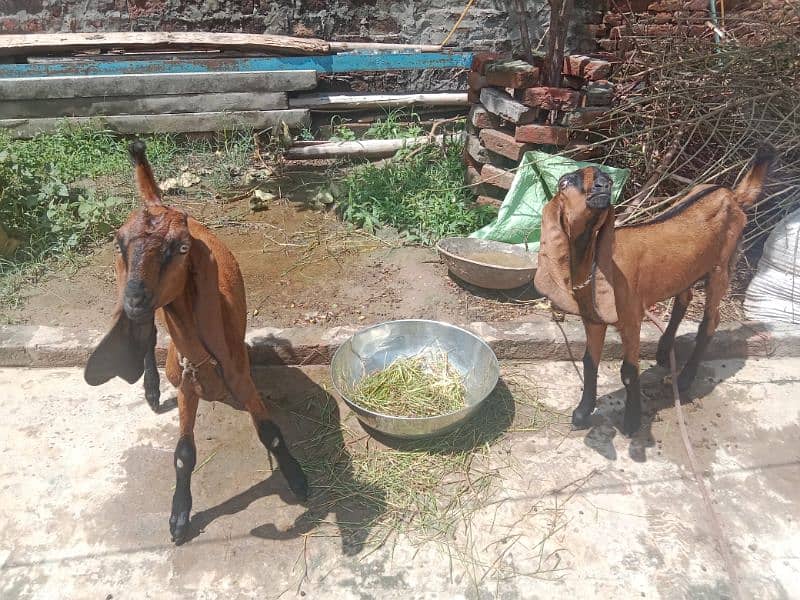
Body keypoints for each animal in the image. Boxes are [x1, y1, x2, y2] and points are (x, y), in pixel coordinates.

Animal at [84, 141, 308, 544]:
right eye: (119, 243)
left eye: (181, 248)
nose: (134, 299)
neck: (205, 358)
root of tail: (156, 200)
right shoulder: (188, 383)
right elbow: (183, 453)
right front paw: (179, 517)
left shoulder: (241, 374)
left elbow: (270, 433)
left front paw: (298, 480)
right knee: (150, 335)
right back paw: (151, 389)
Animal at [536, 147, 772, 434]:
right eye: (565, 181)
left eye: (607, 177)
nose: (604, 185)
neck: (593, 264)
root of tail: (732, 195)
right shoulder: (593, 320)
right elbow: (589, 363)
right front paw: (582, 413)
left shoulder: (631, 318)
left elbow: (628, 371)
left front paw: (632, 421)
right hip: (688, 268)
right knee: (685, 297)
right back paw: (664, 350)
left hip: (721, 266)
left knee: (711, 320)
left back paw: (685, 378)